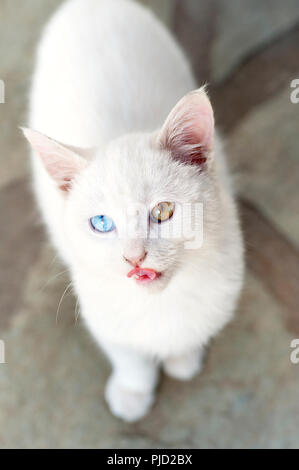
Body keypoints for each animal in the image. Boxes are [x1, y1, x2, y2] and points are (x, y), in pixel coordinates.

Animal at [22, 0, 244, 422]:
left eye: (163, 211)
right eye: (101, 222)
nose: (133, 257)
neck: (160, 302)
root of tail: (90, 5)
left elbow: (192, 329)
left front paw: (183, 359)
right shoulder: (97, 300)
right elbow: (127, 354)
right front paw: (132, 391)